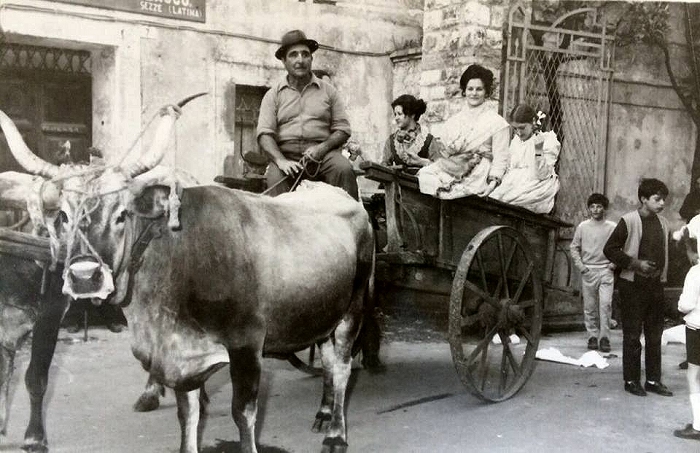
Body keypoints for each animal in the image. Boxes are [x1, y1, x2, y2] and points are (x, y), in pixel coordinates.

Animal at [0, 101, 373, 453]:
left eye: (122, 214)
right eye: (63, 215)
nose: (84, 277)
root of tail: (339, 194)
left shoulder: (246, 344)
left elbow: (243, 413)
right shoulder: (181, 357)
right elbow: (188, 414)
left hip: (353, 310)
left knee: (340, 366)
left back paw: (336, 434)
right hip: (322, 310)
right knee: (327, 360)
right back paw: (324, 413)